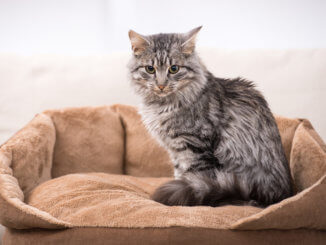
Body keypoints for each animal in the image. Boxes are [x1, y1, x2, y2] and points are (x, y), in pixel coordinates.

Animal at [127, 26, 292, 207]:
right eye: (150, 69)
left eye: (174, 69)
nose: (161, 85)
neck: (161, 106)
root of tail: (283, 195)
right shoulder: (176, 150)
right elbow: (180, 174)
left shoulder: (195, 146)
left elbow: (194, 177)